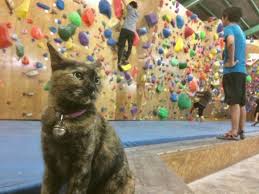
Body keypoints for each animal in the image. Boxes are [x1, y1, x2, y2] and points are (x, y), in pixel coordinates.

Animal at [41, 42, 135, 194]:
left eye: (97, 80)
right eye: (78, 75)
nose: (92, 88)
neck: (65, 117)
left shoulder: (82, 168)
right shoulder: (51, 166)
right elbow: (46, 189)